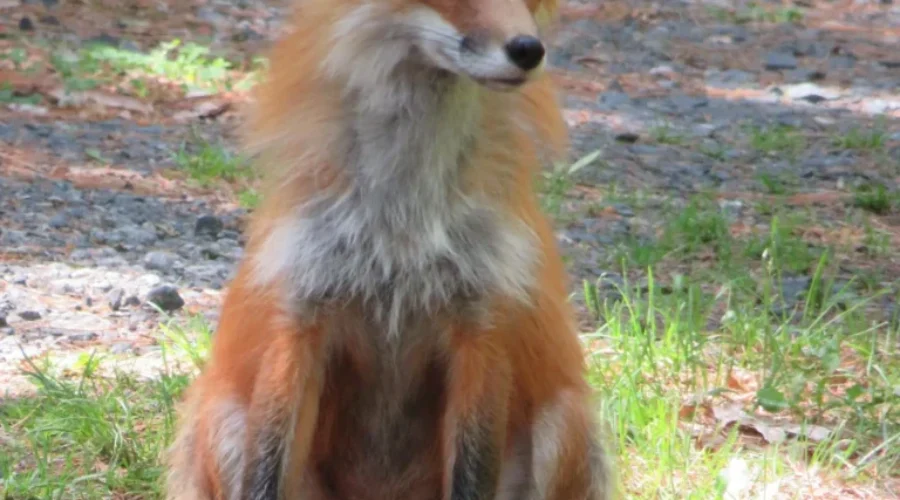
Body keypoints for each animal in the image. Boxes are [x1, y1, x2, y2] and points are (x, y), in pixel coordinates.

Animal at [164, 0, 614, 498]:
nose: (529, 50)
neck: (402, 223)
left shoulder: (482, 327)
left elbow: (471, 475)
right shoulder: (301, 316)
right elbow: (265, 475)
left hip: (566, 423)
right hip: (223, 416)